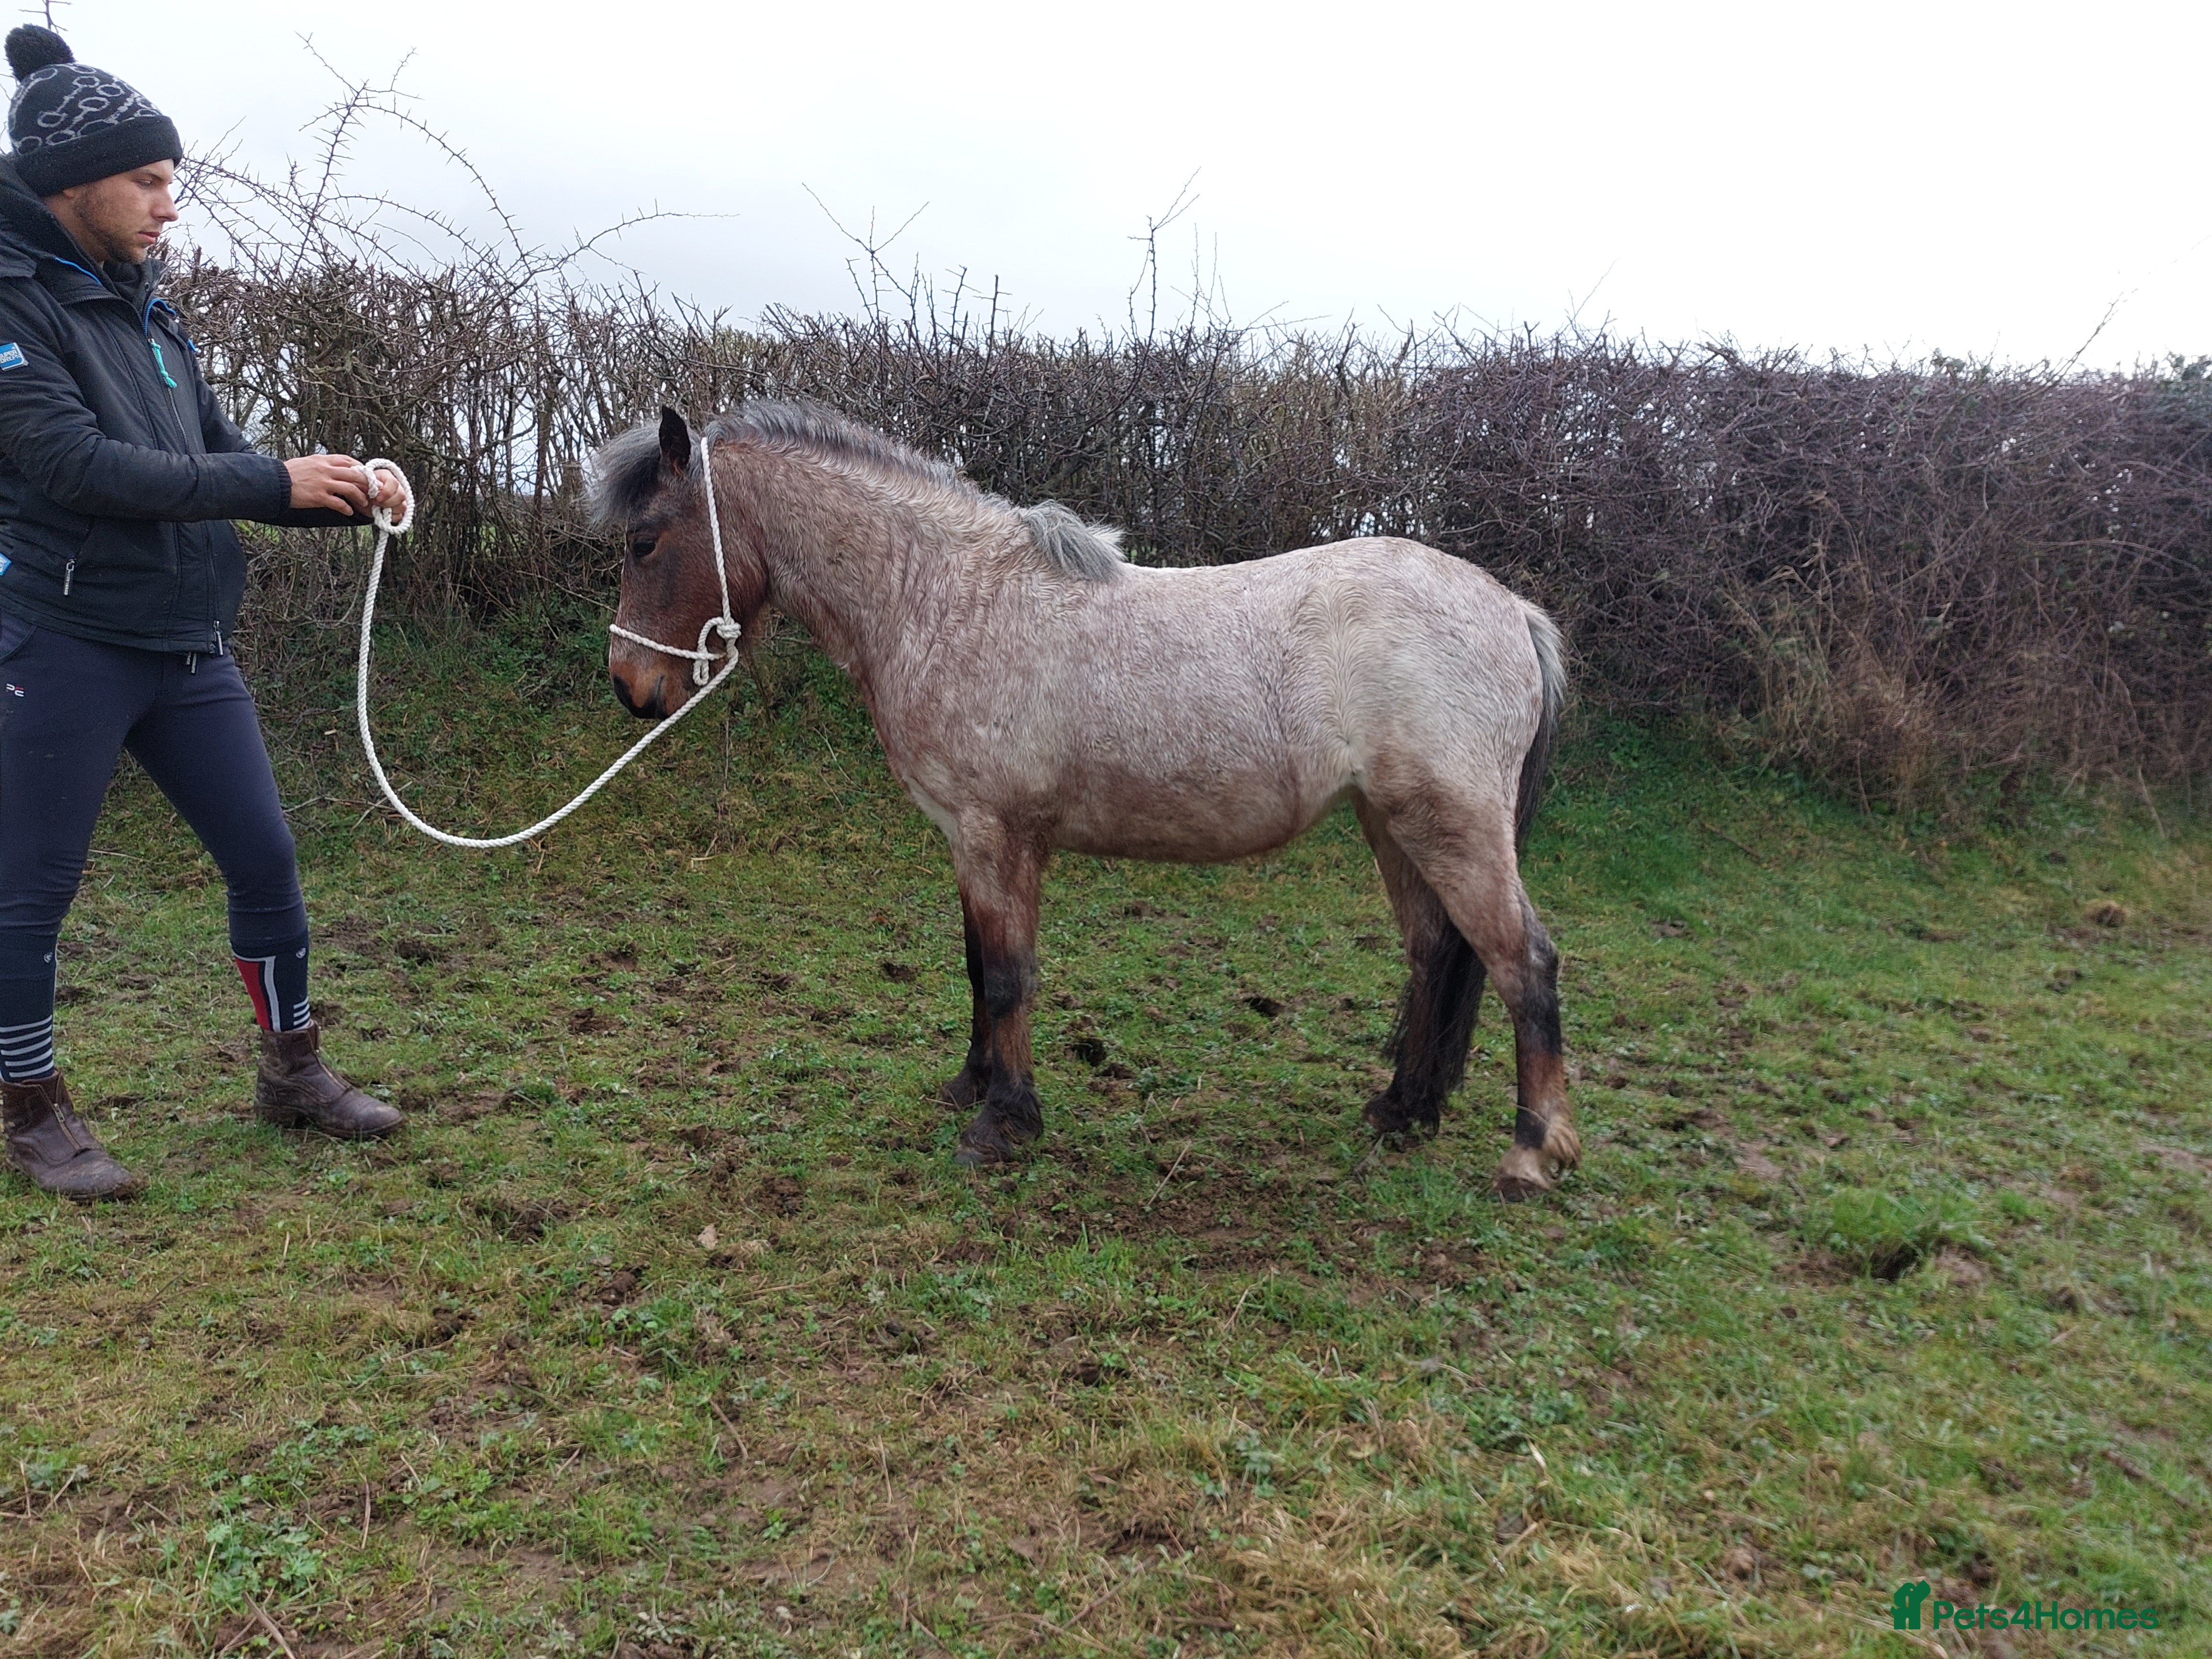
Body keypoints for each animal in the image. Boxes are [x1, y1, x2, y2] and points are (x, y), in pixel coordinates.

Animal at [592, 402, 1580, 1200]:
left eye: (644, 541)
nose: (629, 687)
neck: (939, 596)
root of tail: (1513, 611)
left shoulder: (996, 833)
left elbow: (1006, 975)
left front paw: (1002, 1124)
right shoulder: (967, 838)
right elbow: (976, 968)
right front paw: (971, 1087)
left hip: (1449, 827)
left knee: (1522, 962)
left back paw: (1530, 1155)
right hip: (1393, 826)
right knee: (1435, 953)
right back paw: (1400, 1110)